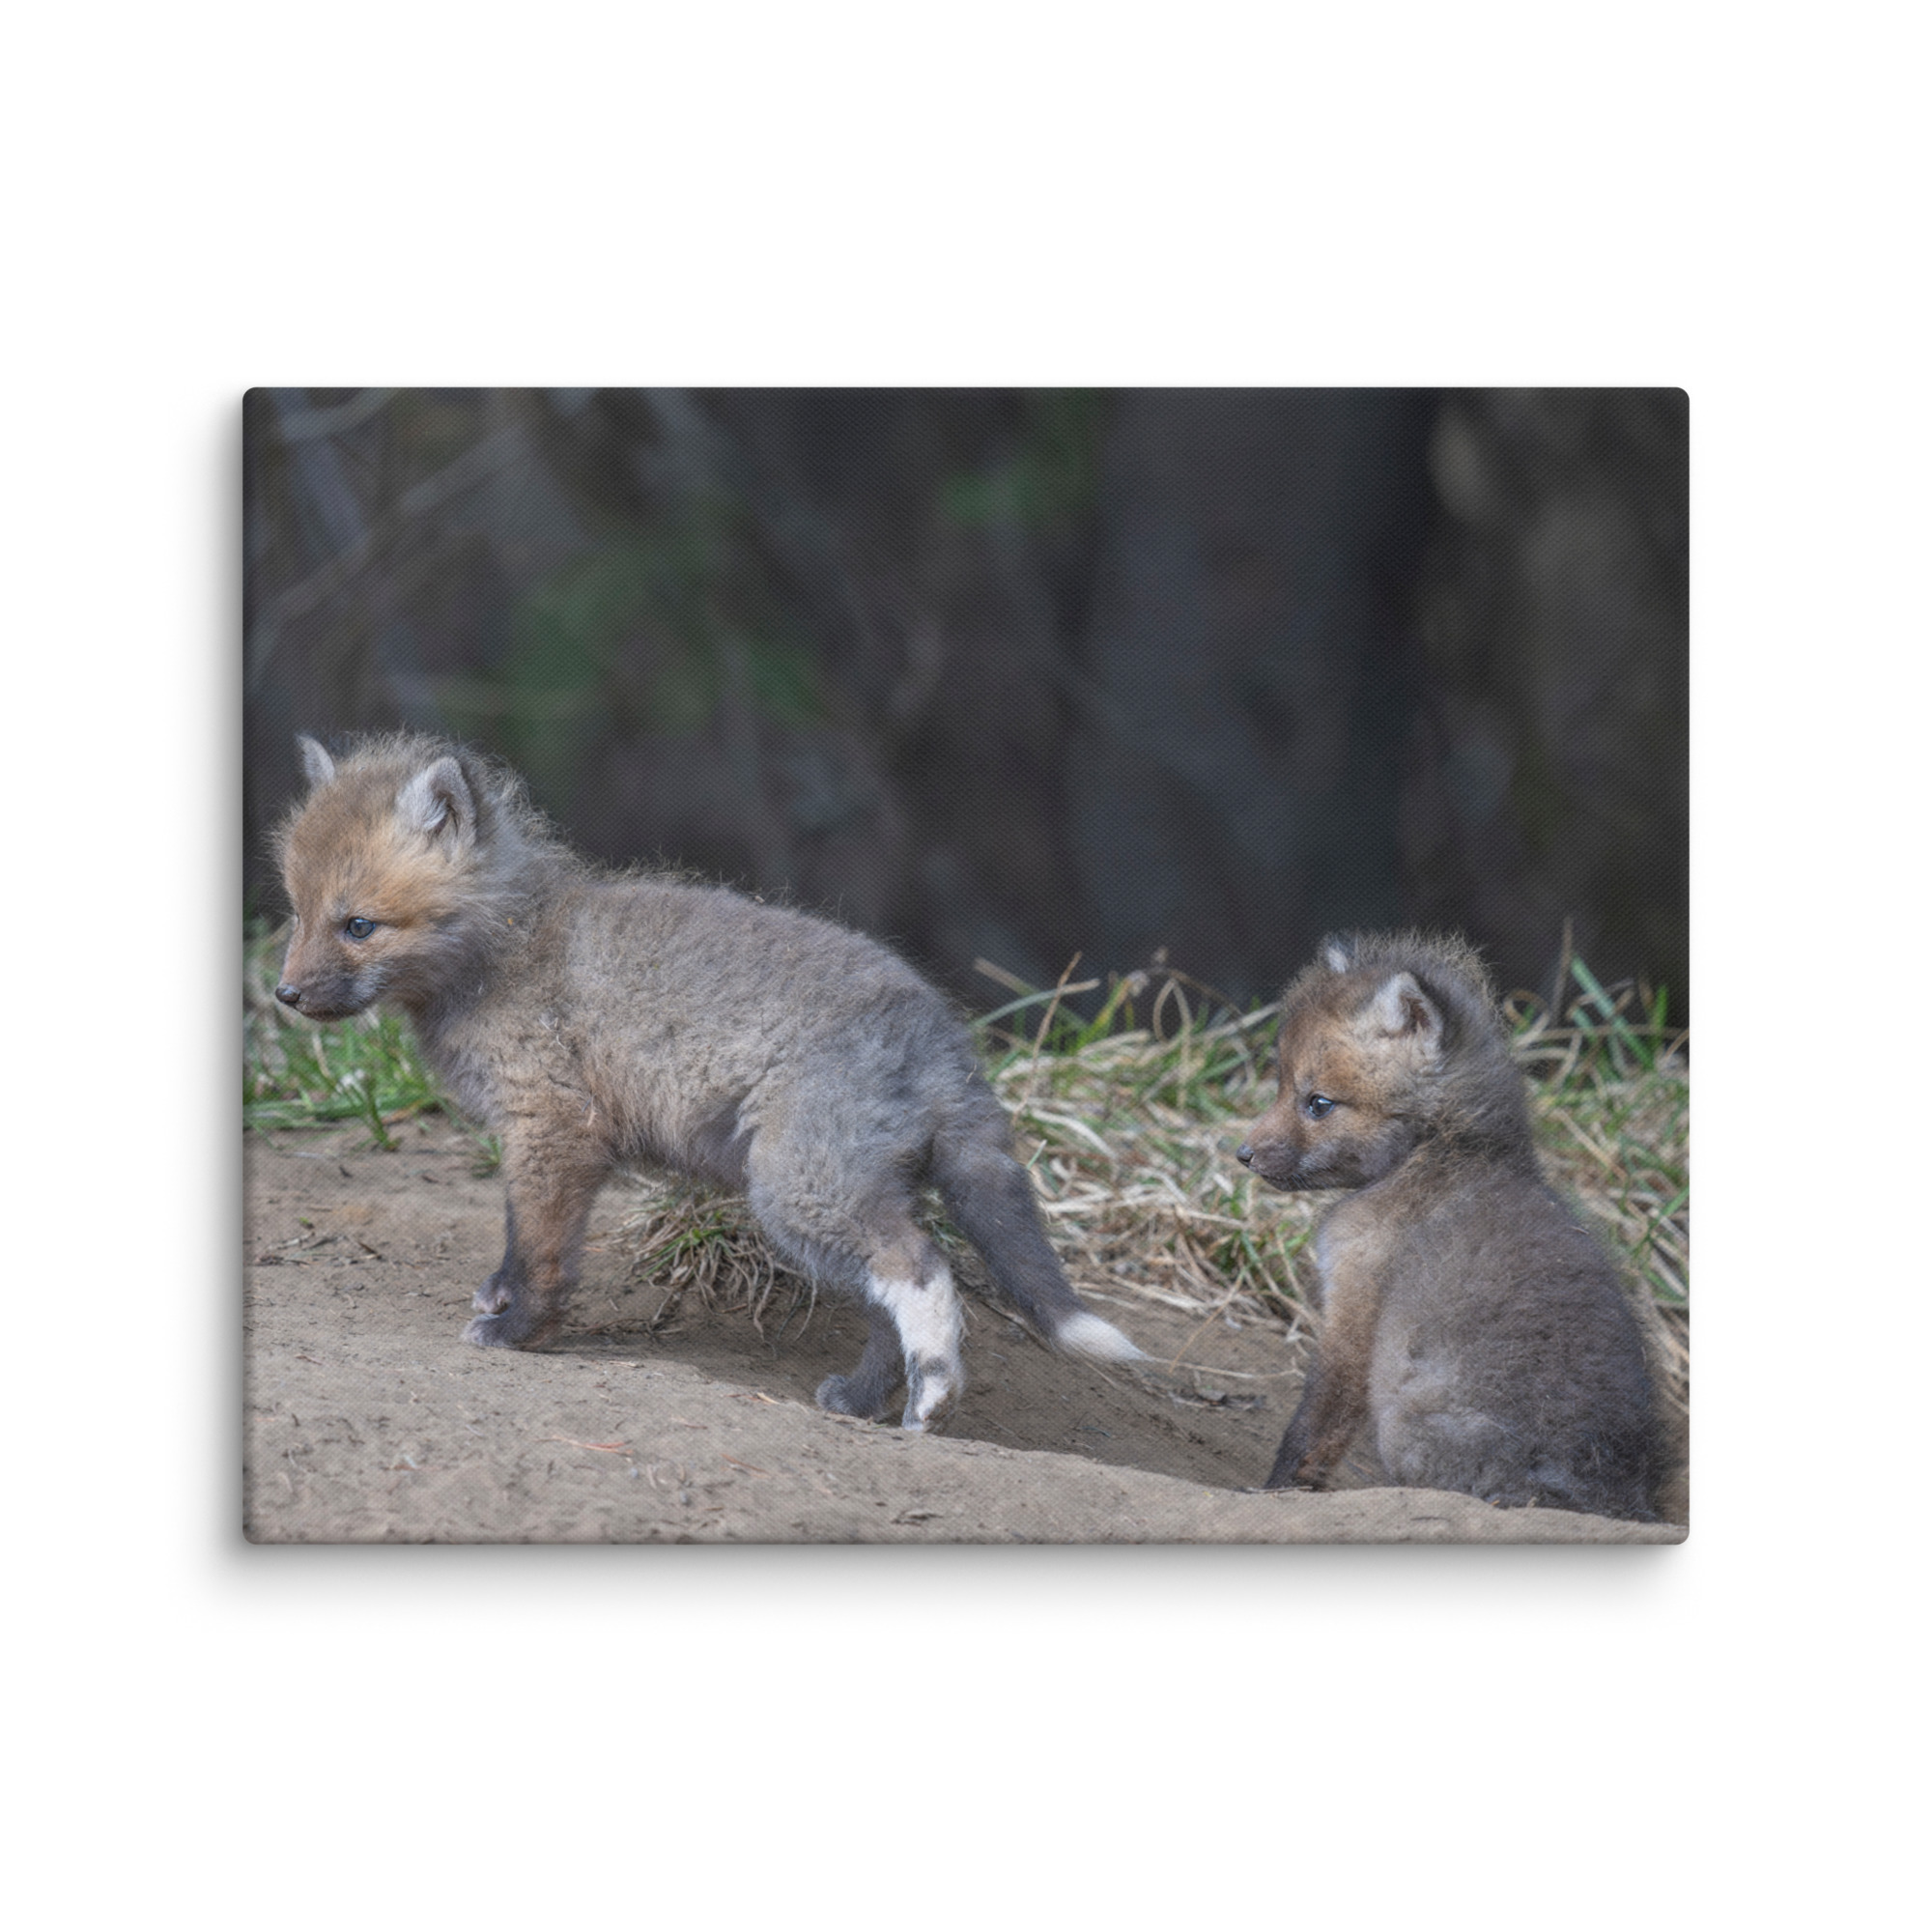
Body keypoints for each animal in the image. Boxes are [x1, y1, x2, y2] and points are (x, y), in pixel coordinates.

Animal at [271, 732, 1141, 1432]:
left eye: (359, 925)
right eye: (297, 913)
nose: (283, 996)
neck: (508, 948)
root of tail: (944, 1035)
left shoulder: (554, 1128)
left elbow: (541, 1248)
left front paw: (519, 1332)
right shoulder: (543, 1139)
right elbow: (520, 1240)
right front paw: (503, 1299)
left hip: (798, 1191)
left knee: (923, 1269)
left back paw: (934, 1396)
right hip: (840, 1197)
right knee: (887, 1304)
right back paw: (864, 1402)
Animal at [1236, 931, 1661, 1521]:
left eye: (1318, 1103)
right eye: (1280, 1086)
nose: (1243, 1155)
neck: (1441, 1152)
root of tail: (1607, 1496)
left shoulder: (1355, 1307)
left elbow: (1312, 1428)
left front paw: (1275, 1494)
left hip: (1404, 1423)